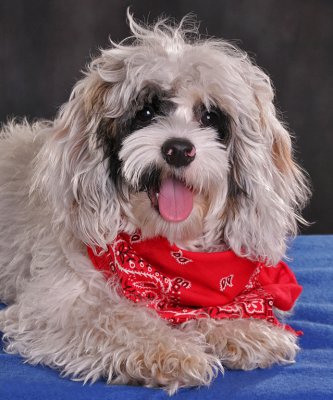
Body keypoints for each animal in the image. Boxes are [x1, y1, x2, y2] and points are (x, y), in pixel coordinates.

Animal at [0, 13, 308, 394]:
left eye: (209, 116)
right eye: (146, 112)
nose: (178, 149)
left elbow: (211, 310)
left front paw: (243, 328)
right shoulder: (58, 304)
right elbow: (118, 320)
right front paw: (170, 351)